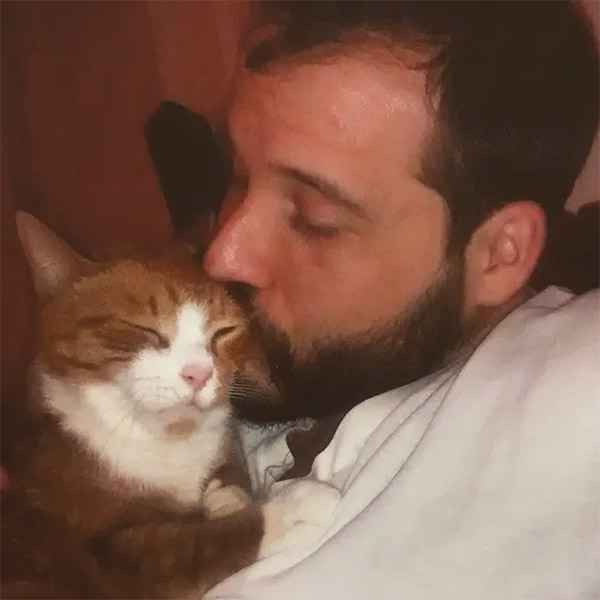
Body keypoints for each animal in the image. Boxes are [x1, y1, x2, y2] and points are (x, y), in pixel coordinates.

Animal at [1, 212, 339, 599]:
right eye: (145, 330)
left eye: (223, 332)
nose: (199, 374)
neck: (167, 439)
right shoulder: (110, 557)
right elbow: (193, 547)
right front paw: (292, 508)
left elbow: (229, 465)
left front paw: (225, 495)